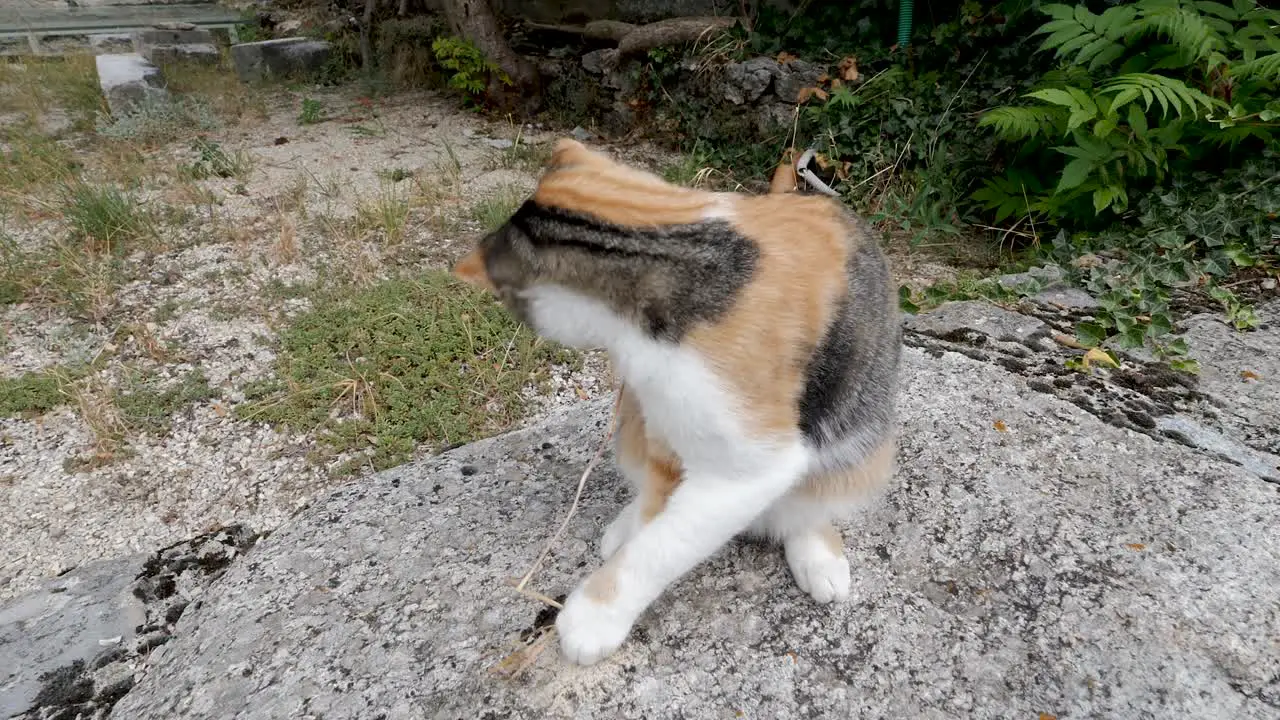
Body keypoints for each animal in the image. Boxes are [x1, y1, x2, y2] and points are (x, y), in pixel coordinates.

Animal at [455, 137, 906, 666]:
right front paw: (633, 530)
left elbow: (664, 545)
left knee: (810, 503)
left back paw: (818, 554)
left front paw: (592, 618)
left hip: (859, 446)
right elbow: (657, 498)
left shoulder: (749, 467)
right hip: (632, 421)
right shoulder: (660, 418)